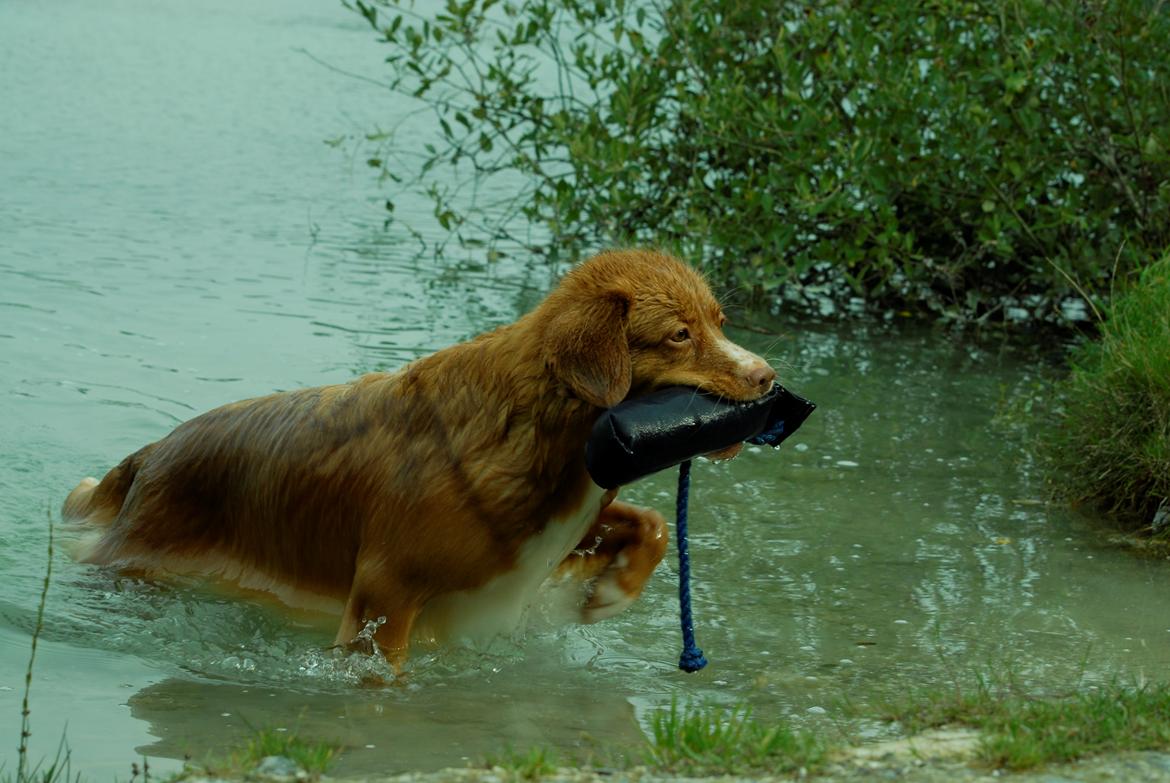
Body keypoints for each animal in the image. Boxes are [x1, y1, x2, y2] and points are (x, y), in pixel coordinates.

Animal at [64, 246, 776, 664]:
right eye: (679, 335)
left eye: (719, 321)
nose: (769, 378)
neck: (538, 428)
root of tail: (150, 455)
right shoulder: (385, 591)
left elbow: (650, 524)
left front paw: (610, 593)